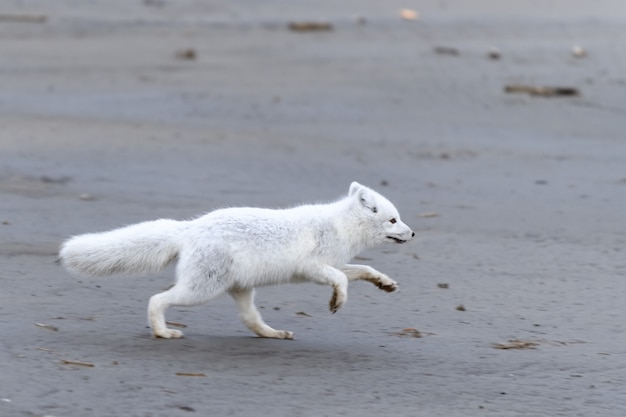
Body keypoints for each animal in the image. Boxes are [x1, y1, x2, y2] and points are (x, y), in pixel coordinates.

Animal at [57, 181, 410, 338]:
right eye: (393, 220)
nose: (413, 233)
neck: (340, 225)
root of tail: (190, 227)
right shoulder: (313, 267)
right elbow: (341, 281)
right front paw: (337, 301)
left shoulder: (334, 264)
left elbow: (362, 269)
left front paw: (385, 283)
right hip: (200, 290)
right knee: (157, 299)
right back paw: (163, 332)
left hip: (239, 289)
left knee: (250, 320)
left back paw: (274, 334)